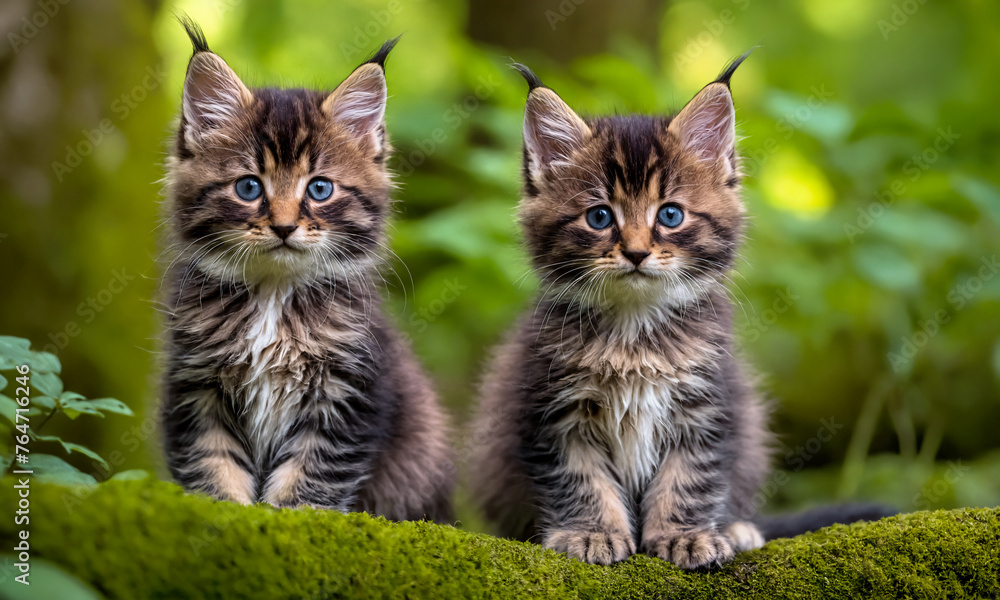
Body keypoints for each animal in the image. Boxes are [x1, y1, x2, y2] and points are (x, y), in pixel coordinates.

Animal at [160, 21, 454, 524]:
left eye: (319, 189)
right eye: (248, 187)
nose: (283, 226)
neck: (273, 297)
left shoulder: (350, 392)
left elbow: (310, 476)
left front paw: (292, 519)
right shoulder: (196, 386)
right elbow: (213, 464)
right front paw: (224, 514)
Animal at [468, 55, 876, 568]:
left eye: (670, 215)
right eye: (599, 217)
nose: (637, 253)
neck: (635, 331)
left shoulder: (707, 409)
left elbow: (688, 480)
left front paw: (686, 537)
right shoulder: (552, 412)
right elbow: (581, 481)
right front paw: (592, 533)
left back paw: (737, 528)